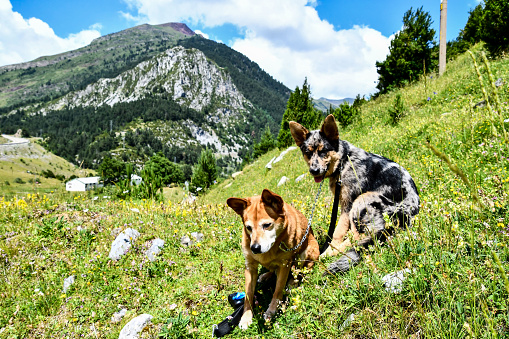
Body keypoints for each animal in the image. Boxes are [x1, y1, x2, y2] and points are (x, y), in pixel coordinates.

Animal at [226, 189, 318, 330]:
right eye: (248, 228)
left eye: (267, 225)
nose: (254, 248)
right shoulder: (250, 267)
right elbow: (248, 296)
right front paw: (246, 317)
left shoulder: (285, 265)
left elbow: (277, 290)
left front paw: (271, 311)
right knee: (272, 269)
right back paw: (266, 276)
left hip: (306, 251)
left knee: (302, 270)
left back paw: (293, 282)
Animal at [288, 115, 418, 274]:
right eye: (308, 153)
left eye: (323, 151)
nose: (314, 170)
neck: (343, 160)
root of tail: (407, 216)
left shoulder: (347, 205)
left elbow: (337, 233)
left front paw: (328, 250)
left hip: (363, 199)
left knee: (358, 238)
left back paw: (328, 255)